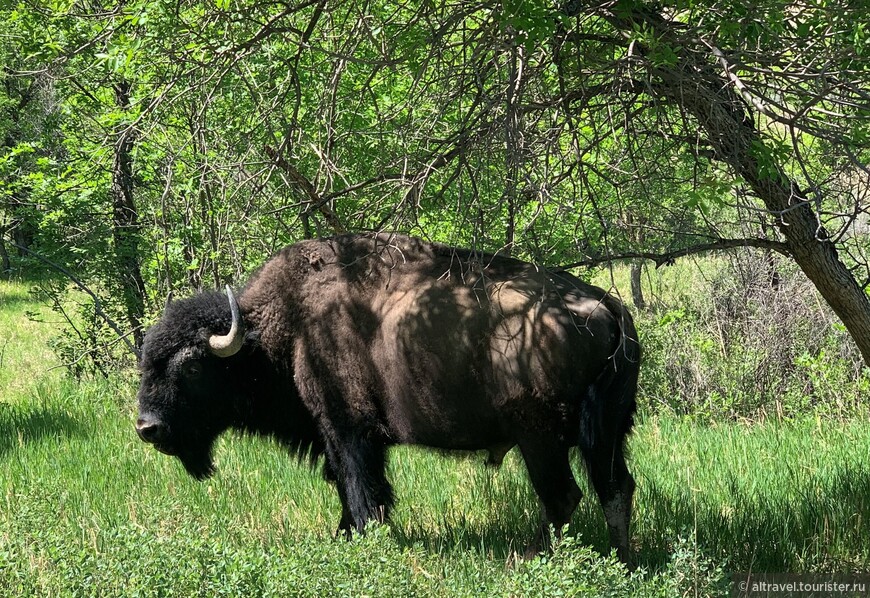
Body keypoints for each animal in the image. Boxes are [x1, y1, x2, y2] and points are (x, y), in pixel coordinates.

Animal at [136, 233, 640, 564]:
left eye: (193, 368)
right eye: (146, 362)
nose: (147, 427)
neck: (282, 328)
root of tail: (605, 306)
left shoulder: (349, 430)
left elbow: (362, 492)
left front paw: (363, 541)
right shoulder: (337, 437)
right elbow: (347, 486)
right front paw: (342, 537)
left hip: (540, 439)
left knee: (563, 495)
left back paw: (528, 557)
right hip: (607, 434)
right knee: (615, 487)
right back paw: (624, 560)